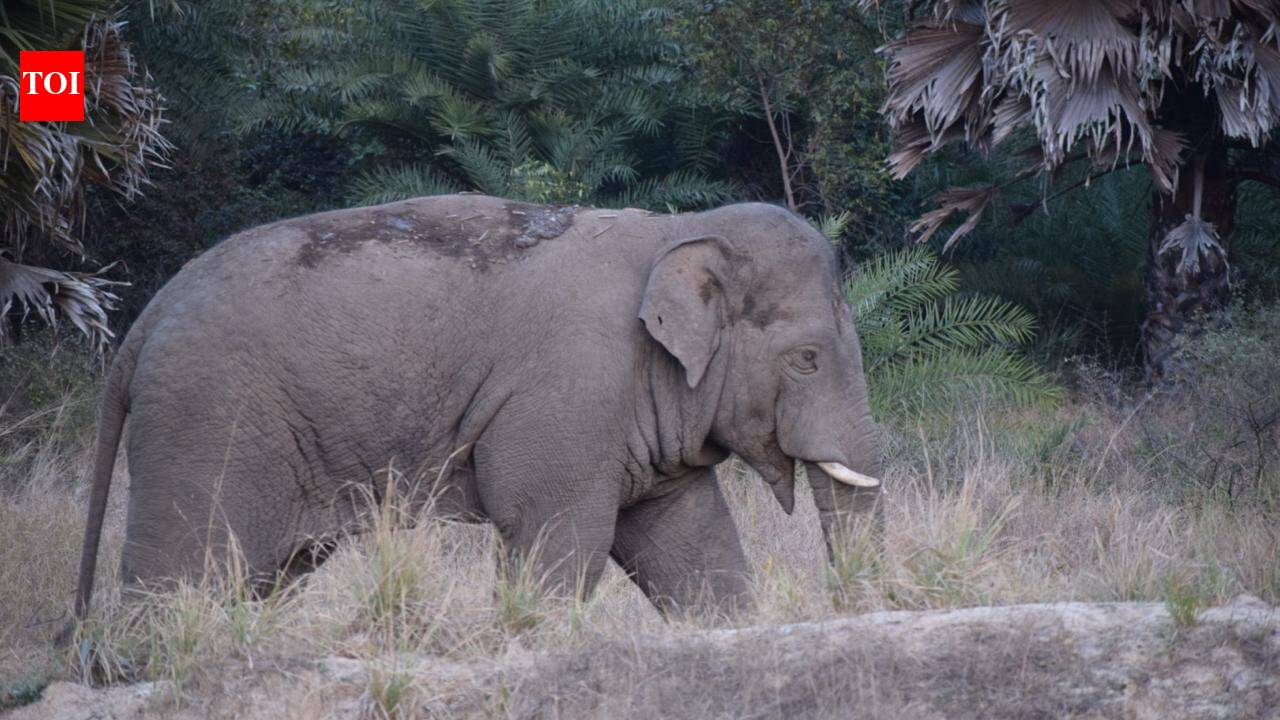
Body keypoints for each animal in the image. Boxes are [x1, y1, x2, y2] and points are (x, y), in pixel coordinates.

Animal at [72, 194, 883, 621]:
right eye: (807, 358)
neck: (675, 229)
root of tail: (146, 319)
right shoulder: (569, 400)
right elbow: (558, 535)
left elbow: (694, 544)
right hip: (205, 420)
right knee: (181, 571)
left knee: (260, 575)